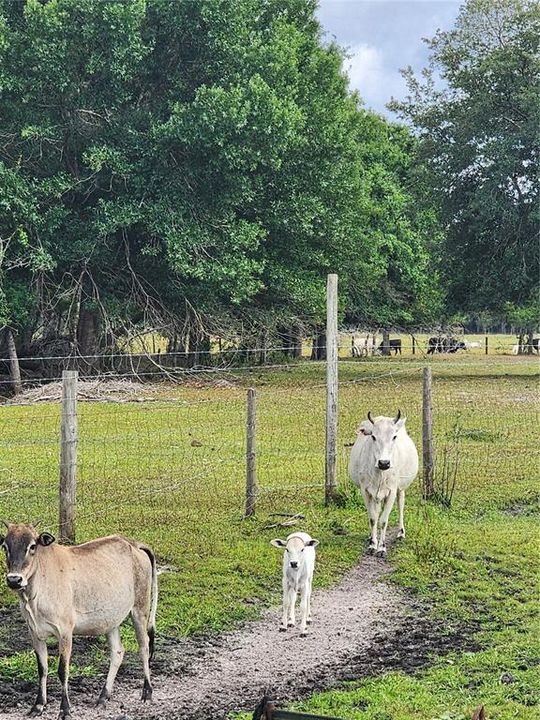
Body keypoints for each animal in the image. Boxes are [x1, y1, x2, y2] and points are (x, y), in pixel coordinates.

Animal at [348, 410, 420, 556]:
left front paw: (382, 547)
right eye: (373, 437)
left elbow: (384, 520)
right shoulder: (365, 491)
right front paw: (372, 544)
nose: (384, 463)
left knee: (401, 504)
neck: (380, 473)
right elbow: (373, 518)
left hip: (400, 488)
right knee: (376, 511)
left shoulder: (391, 491)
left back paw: (401, 533)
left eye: (394, 437)